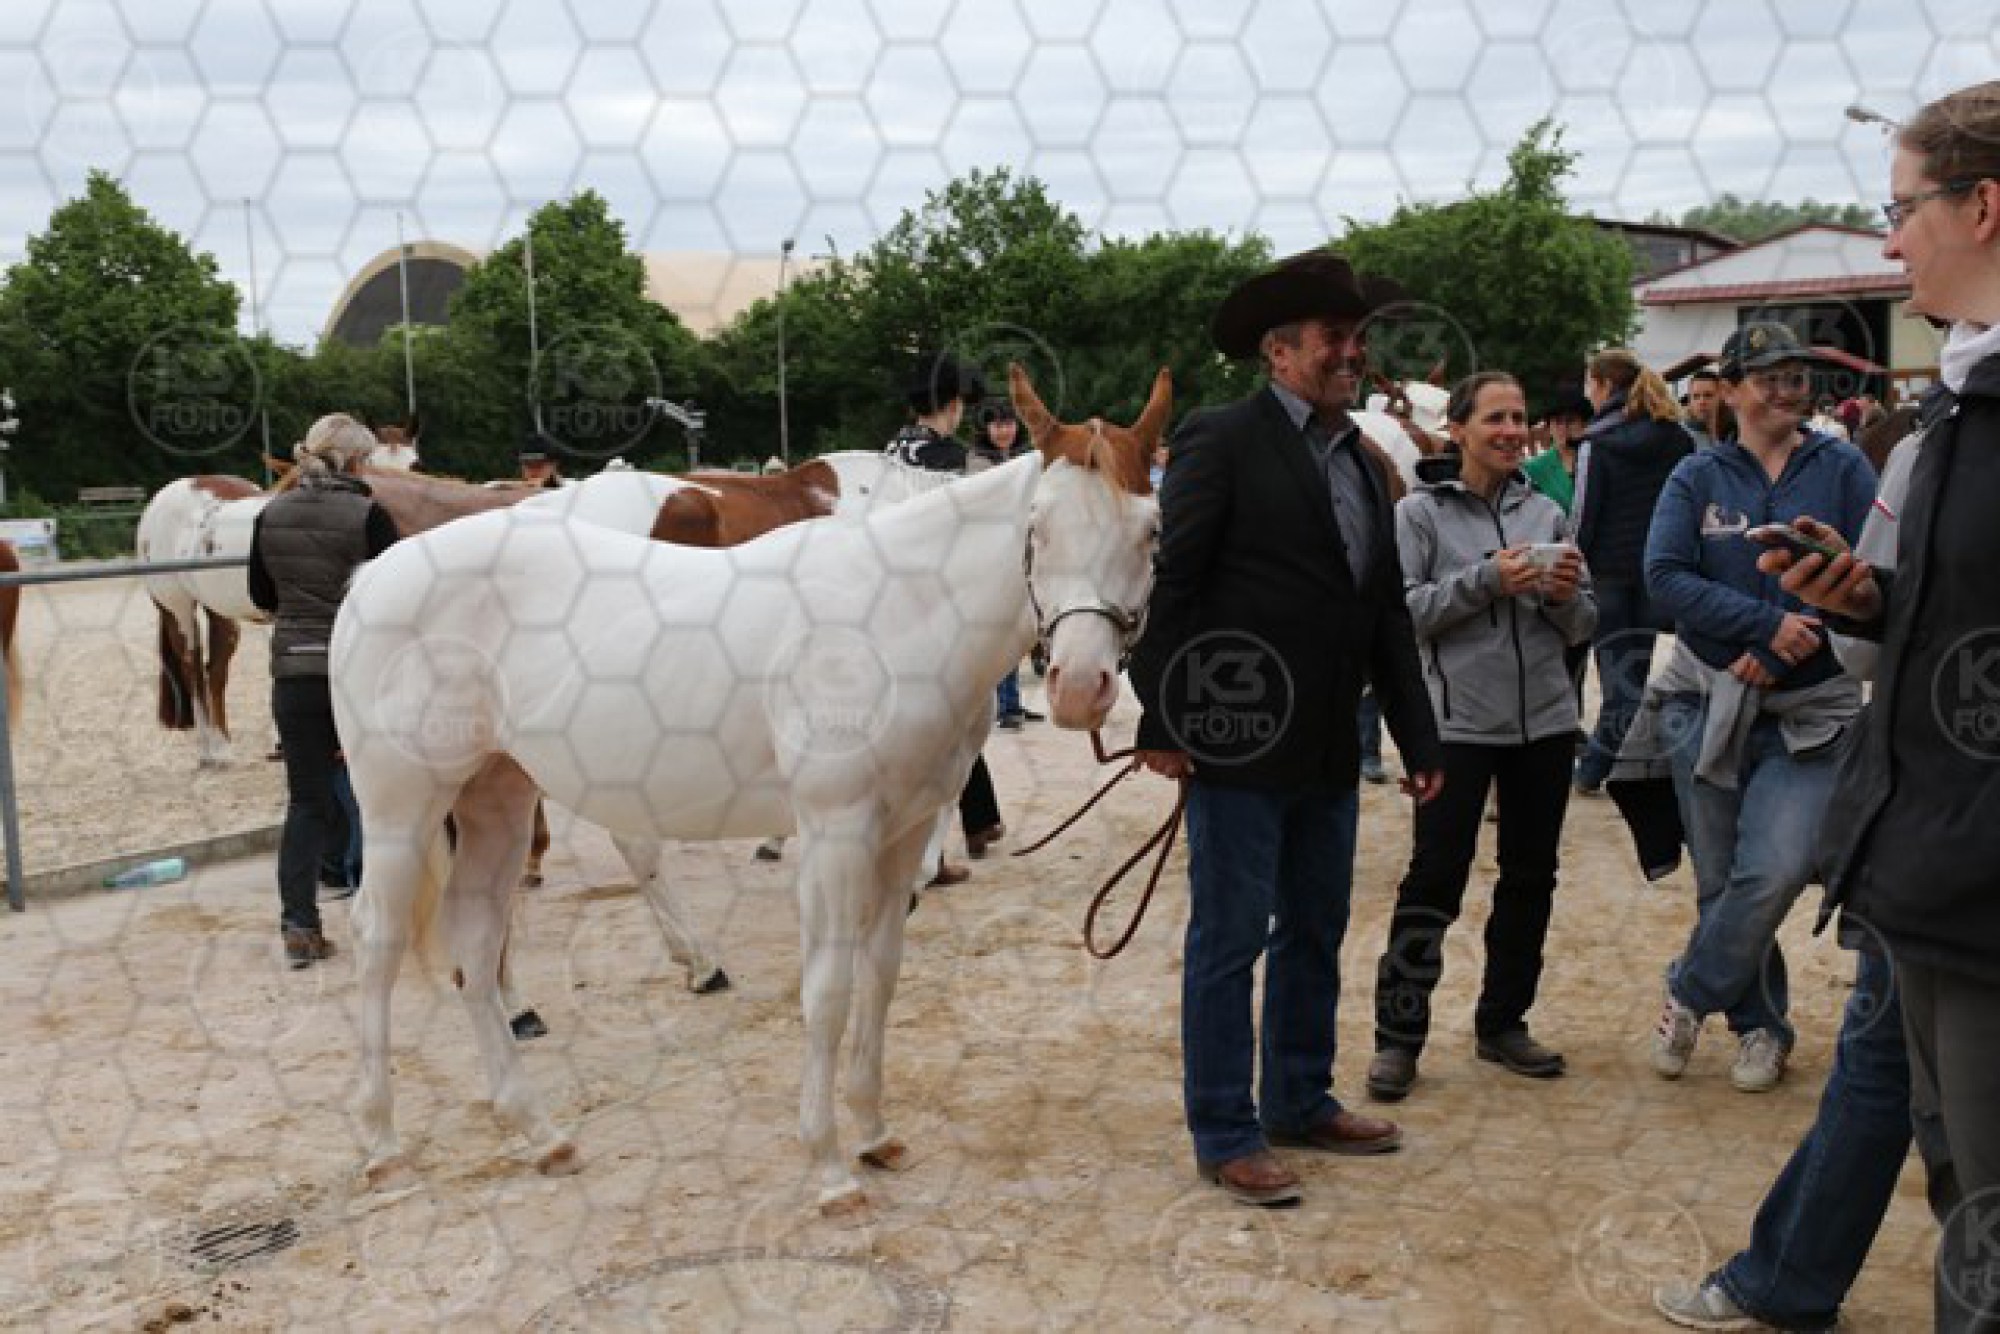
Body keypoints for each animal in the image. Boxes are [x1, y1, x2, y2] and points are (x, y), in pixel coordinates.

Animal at [332, 365, 1168, 1209]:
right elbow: (828, 990)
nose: (1080, 687)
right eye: (1038, 526)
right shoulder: (835, 831)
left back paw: (539, 1133)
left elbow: (881, 976)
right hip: (402, 807)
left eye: (1152, 530)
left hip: (496, 798)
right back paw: (380, 1143)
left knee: (474, 941)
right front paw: (829, 1166)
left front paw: (874, 1133)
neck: (894, 613)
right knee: (378, 940)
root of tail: (376, 573)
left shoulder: (900, 831)